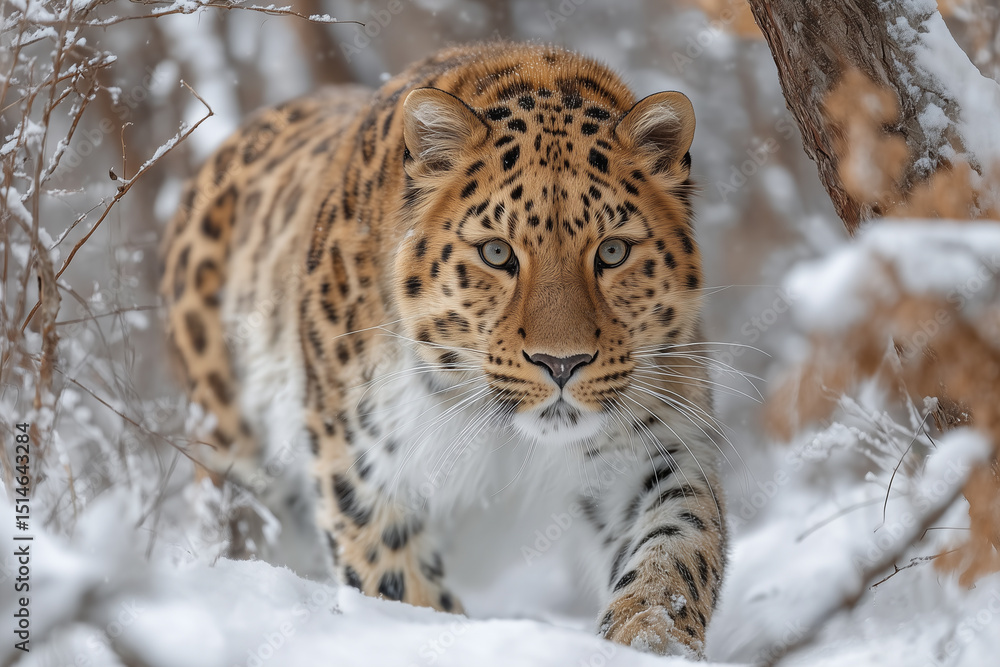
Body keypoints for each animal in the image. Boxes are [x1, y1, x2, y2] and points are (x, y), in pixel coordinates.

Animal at [161, 41, 727, 659]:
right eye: (498, 253)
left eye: (614, 251)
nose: (561, 363)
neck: (505, 435)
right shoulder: (363, 475)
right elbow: (402, 591)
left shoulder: (659, 444)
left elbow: (677, 546)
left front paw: (649, 638)